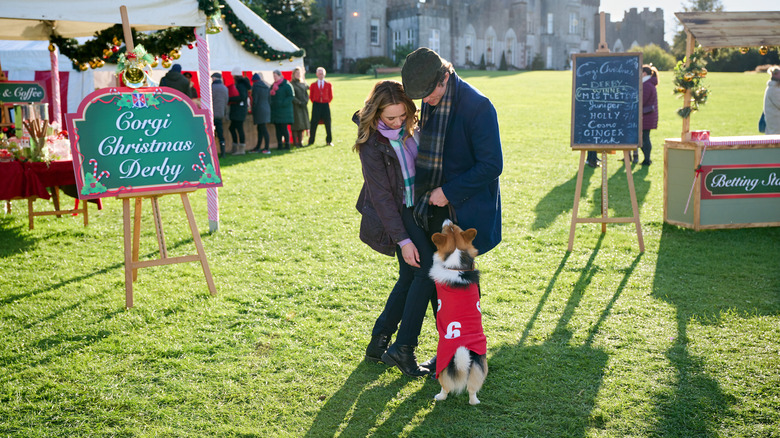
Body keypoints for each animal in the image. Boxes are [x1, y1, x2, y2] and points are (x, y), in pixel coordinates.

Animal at [426, 221, 488, 406]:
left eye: (447, 228)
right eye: (453, 227)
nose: (448, 220)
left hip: (442, 369)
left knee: (446, 387)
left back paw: (439, 396)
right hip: (479, 369)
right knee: (473, 391)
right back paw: (475, 401)